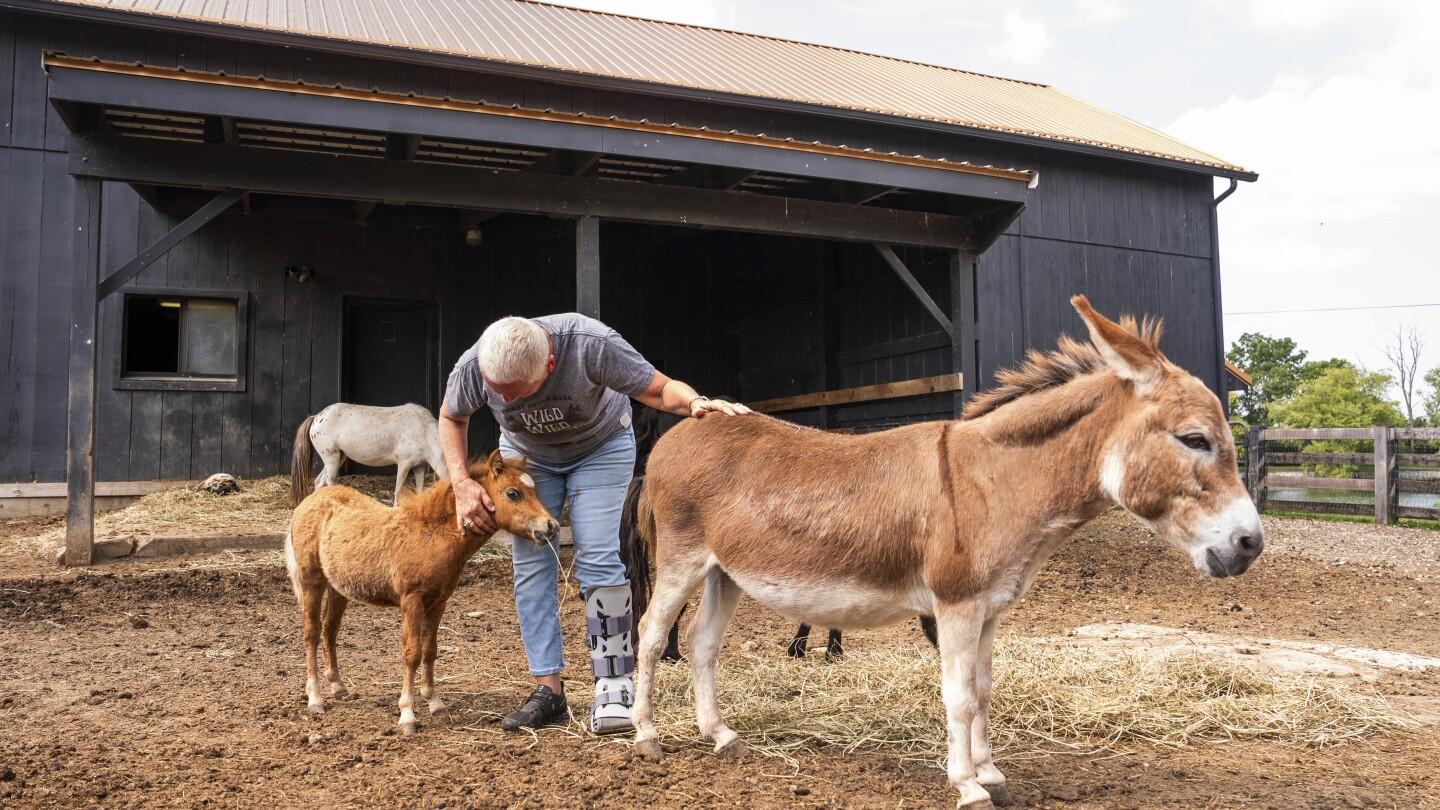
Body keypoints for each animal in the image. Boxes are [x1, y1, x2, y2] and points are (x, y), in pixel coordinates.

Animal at [283, 446, 558, 732]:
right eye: (513, 493)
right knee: (312, 633)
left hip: (338, 588)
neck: (431, 535)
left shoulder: (438, 602)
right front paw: (407, 715)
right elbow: (412, 653)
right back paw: (315, 698)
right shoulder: (411, 600)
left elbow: (430, 650)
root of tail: (308, 502)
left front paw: (435, 702)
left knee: (330, 630)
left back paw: (337, 686)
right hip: (311, 580)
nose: (550, 526)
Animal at [630, 296, 1261, 807]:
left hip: (726, 573)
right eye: (1195, 440)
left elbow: (983, 691)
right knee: (652, 635)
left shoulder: (989, 608)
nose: (1250, 544)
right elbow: (958, 696)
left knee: (701, 643)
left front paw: (992, 774)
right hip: (682, 560)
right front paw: (967, 786)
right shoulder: (956, 605)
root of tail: (685, 428)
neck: (992, 481)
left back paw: (720, 736)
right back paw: (646, 736)